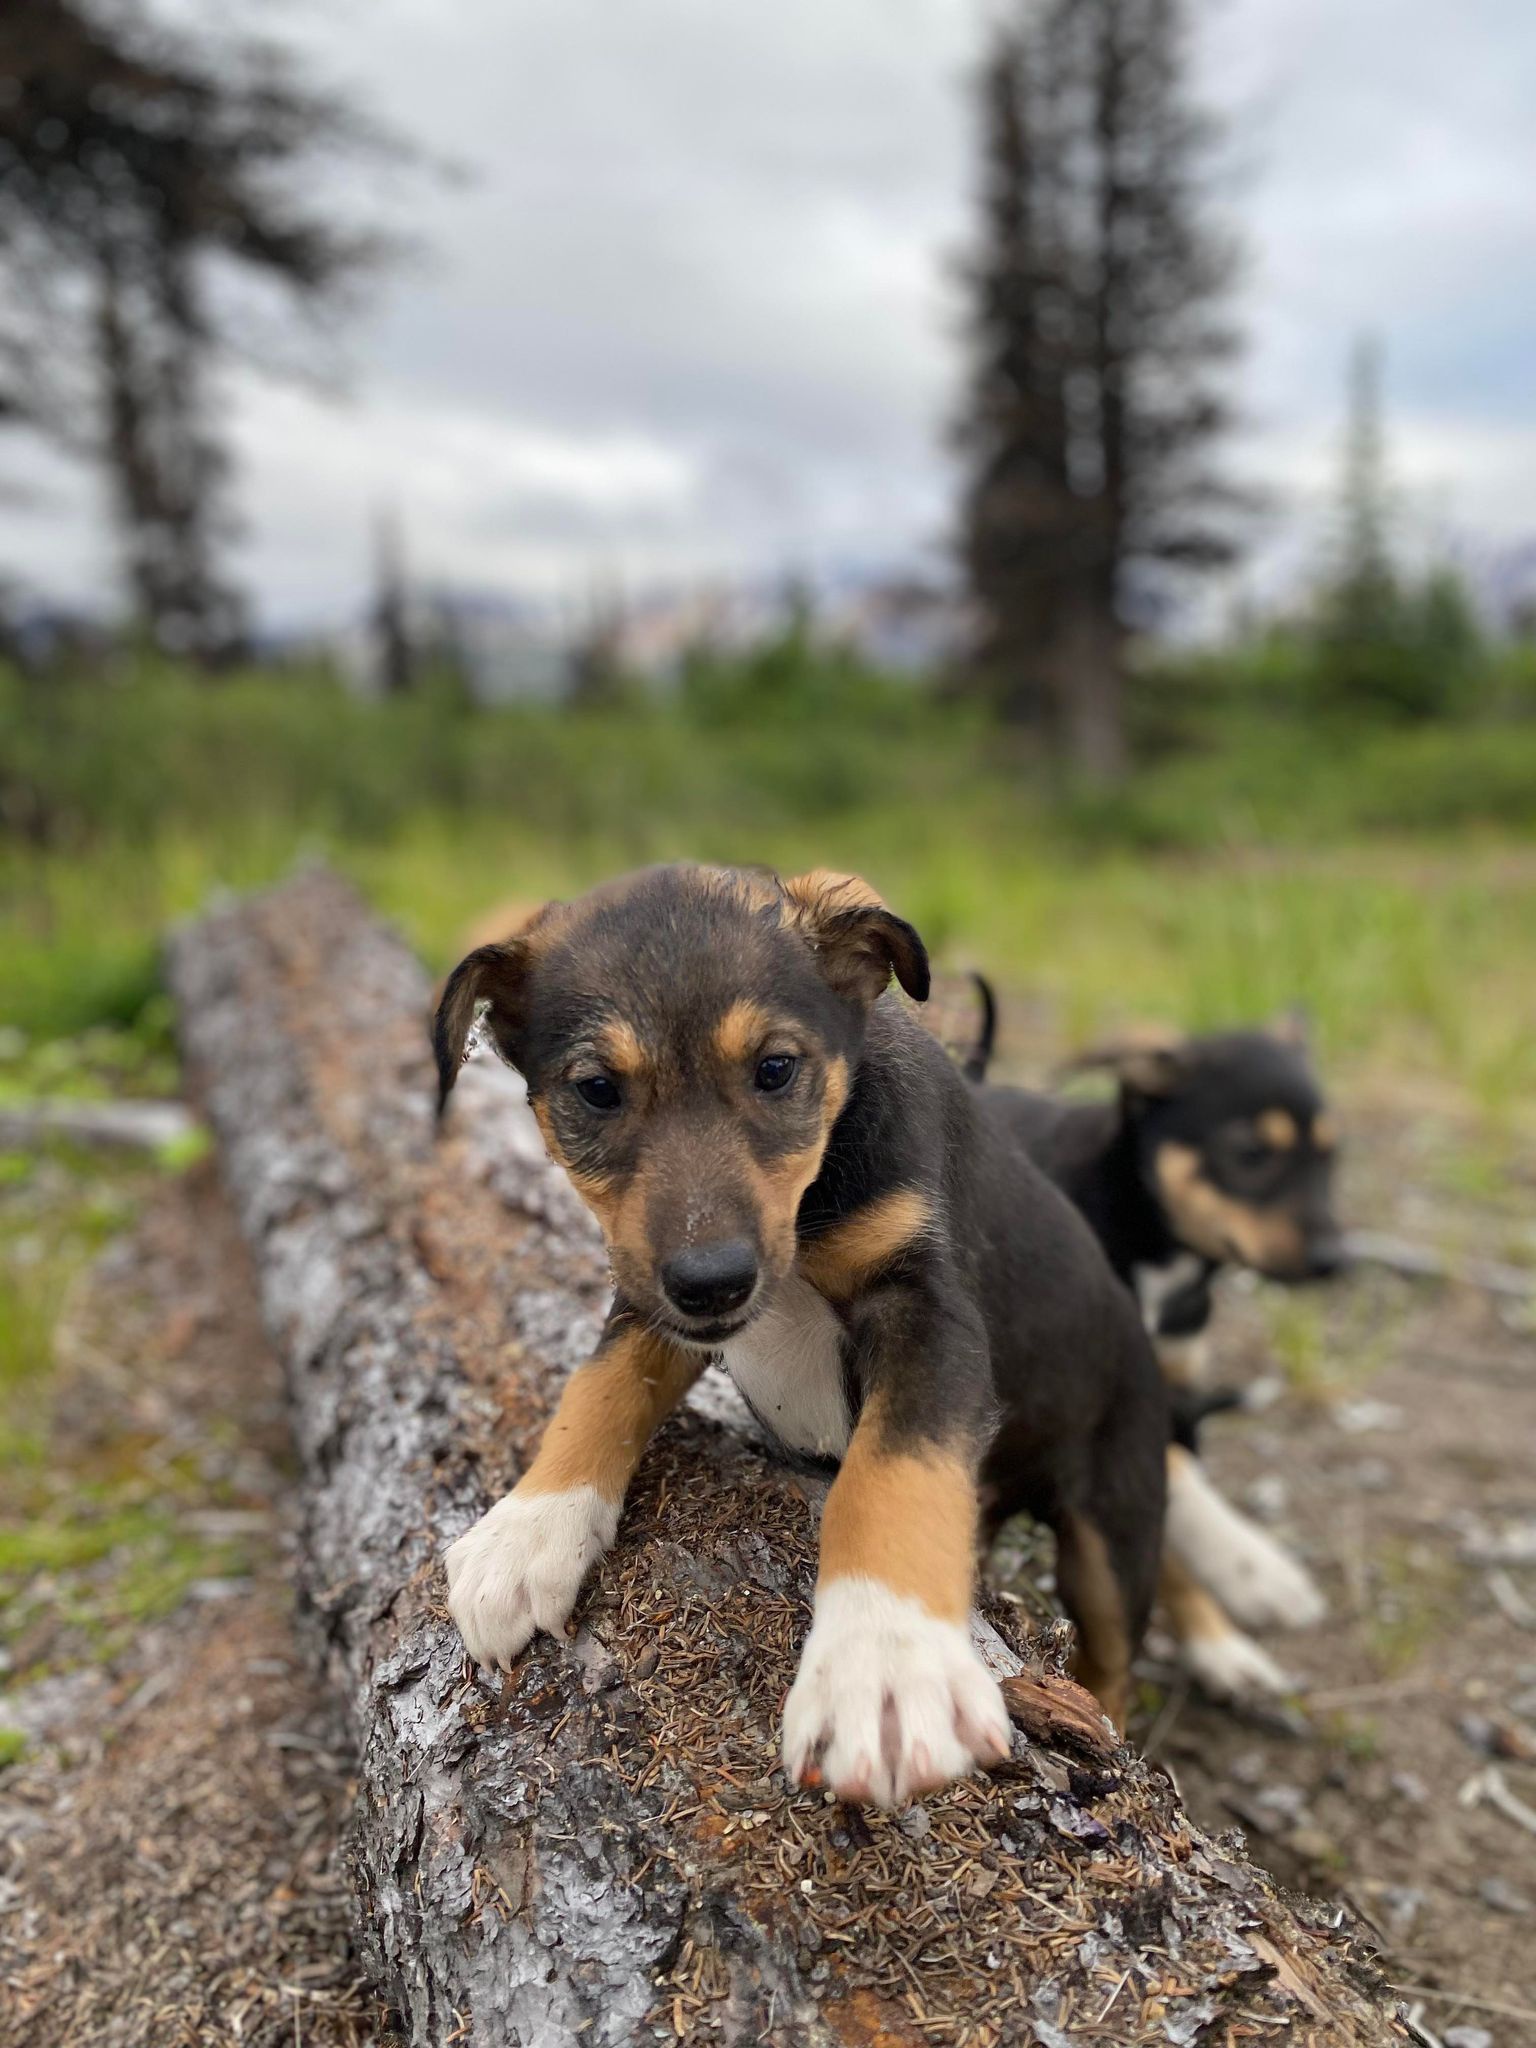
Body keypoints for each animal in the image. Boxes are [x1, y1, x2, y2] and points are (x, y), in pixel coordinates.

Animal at [432, 864, 1169, 1806]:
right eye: (597, 1090)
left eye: (776, 1069)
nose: (714, 1280)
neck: (811, 1208)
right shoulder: (651, 1298)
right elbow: (596, 1387)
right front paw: (528, 1531)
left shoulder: (926, 1311)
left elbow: (890, 1471)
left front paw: (884, 1668)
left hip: (1115, 1535)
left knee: (1112, 1658)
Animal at [967, 1006, 1341, 1698]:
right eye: (1251, 1154)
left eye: (1331, 1159)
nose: (1337, 1258)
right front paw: (1247, 1569)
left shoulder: (1163, 1390)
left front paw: (1219, 1642)